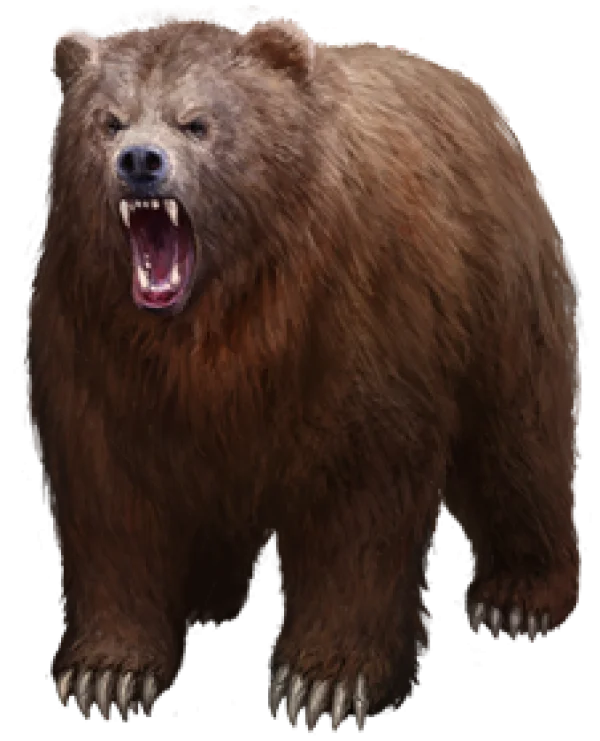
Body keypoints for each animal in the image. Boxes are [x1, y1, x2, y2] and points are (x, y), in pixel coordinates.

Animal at [26, 7, 582, 732]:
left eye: (196, 121)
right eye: (109, 121)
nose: (140, 161)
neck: (217, 326)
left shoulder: (357, 326)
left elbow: (358, 508)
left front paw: (321, 683)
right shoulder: (96, 351)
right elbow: (111, 499)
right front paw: (106, 675)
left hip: (504, 290)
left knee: (520, 436)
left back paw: (517, 597)